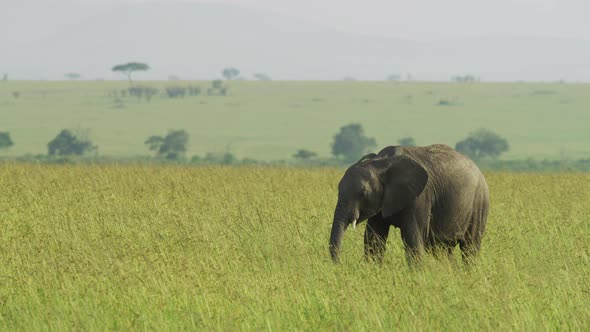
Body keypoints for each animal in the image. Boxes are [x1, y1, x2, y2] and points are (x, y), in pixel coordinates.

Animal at [330, 144, 492, 266]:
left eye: (362, 194)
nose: (340, 264)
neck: (380, 163)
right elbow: (374, 240)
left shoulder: (420, 197)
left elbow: (413, 239)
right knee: (443, 250)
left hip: (479, 203)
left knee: (470, 247)